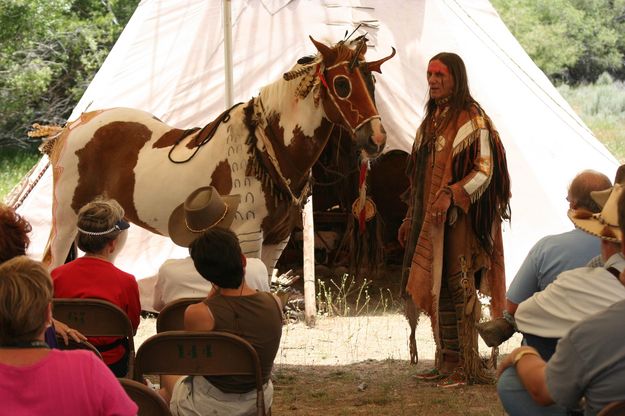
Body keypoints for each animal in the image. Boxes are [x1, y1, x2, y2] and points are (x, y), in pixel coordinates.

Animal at [42, 37, 394, 272]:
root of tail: (73, 126)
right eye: (342, 84)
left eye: (372, 82)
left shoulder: (276, 241)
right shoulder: (249, 238)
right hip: (66, 222)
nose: (376, 138)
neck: (267, 148)